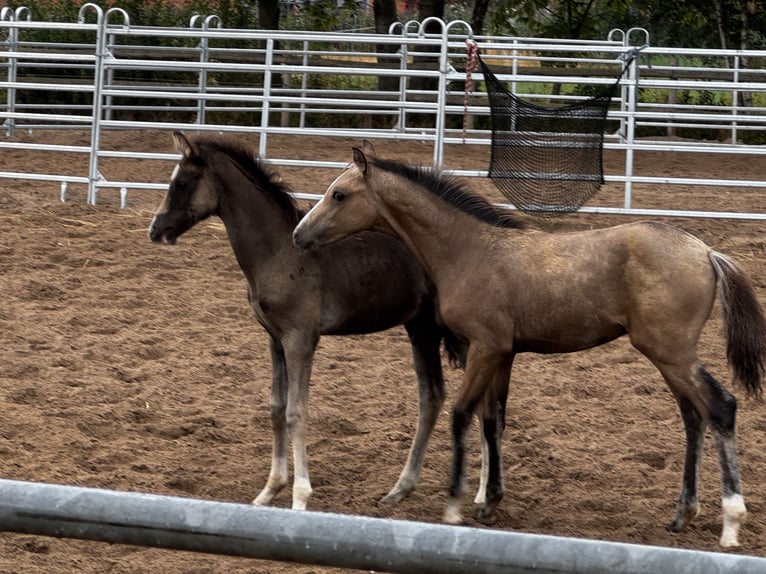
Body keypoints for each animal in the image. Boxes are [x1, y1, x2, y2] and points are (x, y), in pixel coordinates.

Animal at [148, 132, 468, 511]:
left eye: (181, 183)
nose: (156, 229)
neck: (278, 252)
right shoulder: (275, 339)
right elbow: (276, 409)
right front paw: (269, 490)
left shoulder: (300, 339)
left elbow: (296, 412)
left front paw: (300, 496)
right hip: (419, 326)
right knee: (432, 396)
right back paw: (401, 489)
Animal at [292, 141, 766, 548]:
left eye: (339, 194)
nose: (299, 234)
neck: (469, 251)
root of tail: (705, 251)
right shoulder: (503, 354)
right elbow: (492, 420)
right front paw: (489, 501)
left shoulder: (485, 348)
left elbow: (461, 415)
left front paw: (455, 504)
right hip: (668, 357)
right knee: (693, 417)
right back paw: (682, 513)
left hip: (670, 352)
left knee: (720, 408)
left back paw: (730, 523)